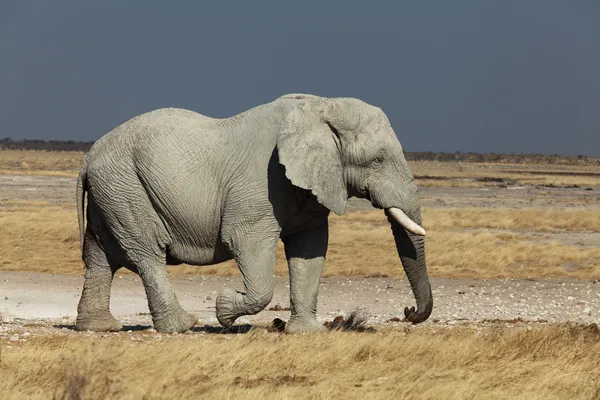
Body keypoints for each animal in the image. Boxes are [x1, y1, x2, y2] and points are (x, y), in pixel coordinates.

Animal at [75, 92, 434, 332]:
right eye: (377, 160)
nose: (408, 311)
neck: (320, 107)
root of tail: (89, 158)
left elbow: (309, 248)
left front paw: (306, 333)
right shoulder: (262, 183)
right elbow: (245, 241)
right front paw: (224, 308)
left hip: (113, 192)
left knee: (100, 255)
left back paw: (99, 327)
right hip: (125, 187)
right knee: (147, 253)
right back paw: (183, 325)